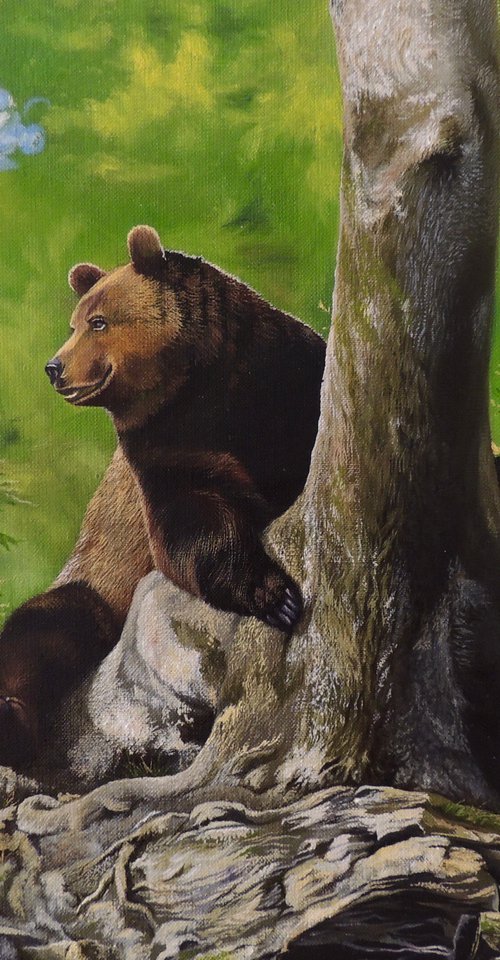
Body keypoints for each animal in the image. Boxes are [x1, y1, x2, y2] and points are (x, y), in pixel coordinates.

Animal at [0, 225, 326, 770]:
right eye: (76, 323)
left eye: (97, 322)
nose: (54, 367)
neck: (193, 388)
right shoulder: (162, 451)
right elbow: (187, 527)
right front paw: (272, 594)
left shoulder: (280, 384)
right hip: (97, 583)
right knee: (48, 626)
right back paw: (14, 719)